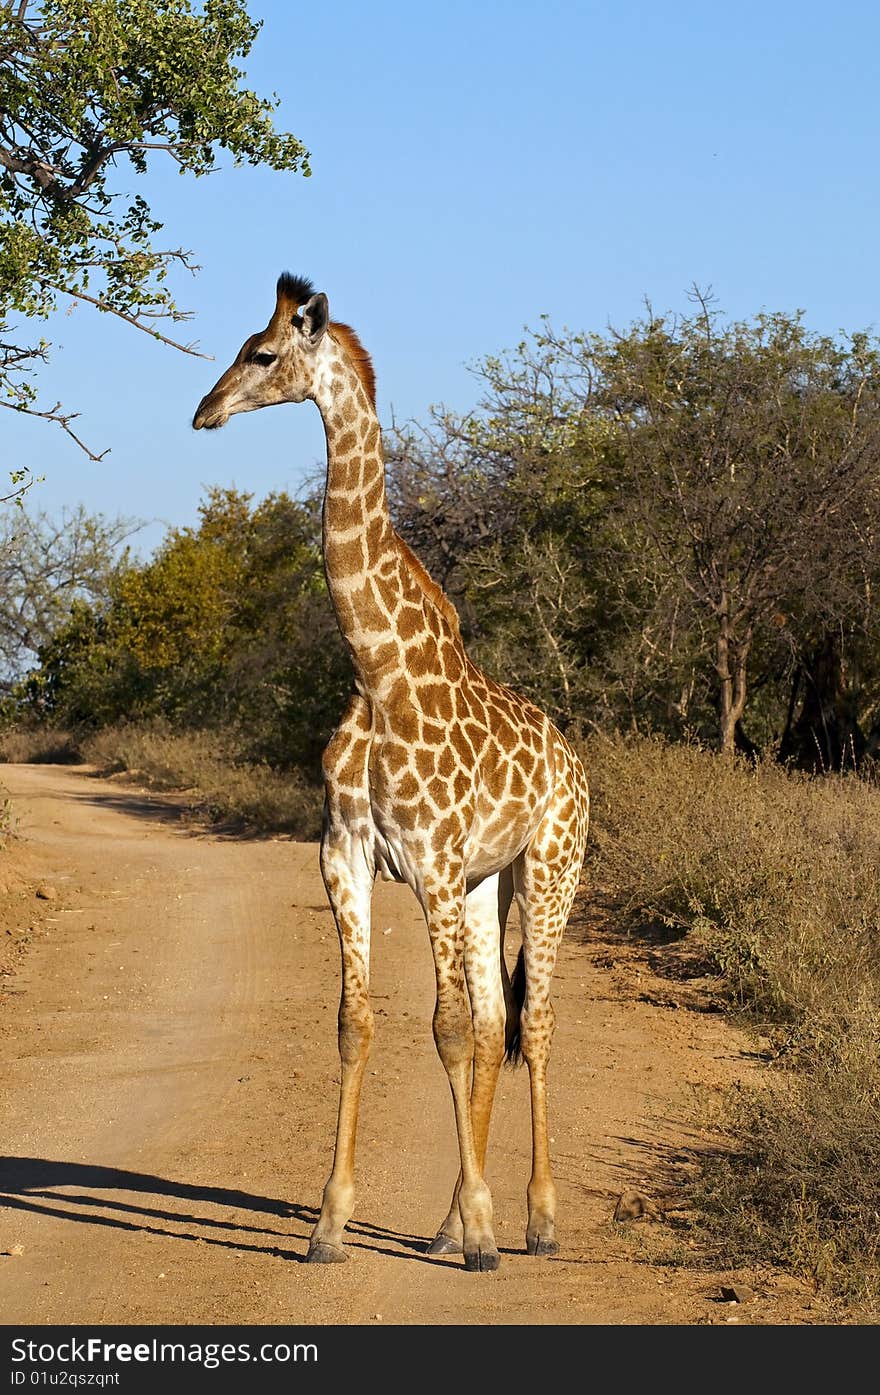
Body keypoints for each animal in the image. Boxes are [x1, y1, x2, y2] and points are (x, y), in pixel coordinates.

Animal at [193, 274, 591, 1277]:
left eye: (261, 354)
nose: (204, 410)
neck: (376, 670)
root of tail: (575, 759)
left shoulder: (434, 864)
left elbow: (443, 1029)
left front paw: (485, 1236)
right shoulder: (347, 857)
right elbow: (358, 1023)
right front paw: (330, 1225)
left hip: (550, 870)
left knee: (535, 1022)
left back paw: (534, 1220)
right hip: (489, 883)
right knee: (494, 1022)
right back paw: (450, 1218)